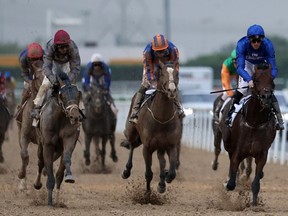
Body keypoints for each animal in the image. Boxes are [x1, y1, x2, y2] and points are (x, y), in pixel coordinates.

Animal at [33, 72, 81, 206]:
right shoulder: (48, 145)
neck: (60, 118)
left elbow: (64, 164)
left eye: (78, 94)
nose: (75, 116)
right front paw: (49, 202)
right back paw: (37, 184)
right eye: (62, 95)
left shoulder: (69, 140)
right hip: (40, 146)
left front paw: (68, 177)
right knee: (40, 162)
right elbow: (49, 170)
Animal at [122, 61, 182, 194]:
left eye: (177, 74)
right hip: (131, 132)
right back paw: (126, 171)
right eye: (163, 73)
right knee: (131, 145)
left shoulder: (171, 145)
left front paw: (163, 181)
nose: (172, 90)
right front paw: (147, 193)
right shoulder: (147, 147)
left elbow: (172, 173)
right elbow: (148, 173)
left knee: (161, 160)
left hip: (160, 147)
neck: (162, 119)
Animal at [219, 66, 276, 206]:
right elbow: (231, 184)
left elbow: (256, 183)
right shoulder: (237, 151)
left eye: (272, 80)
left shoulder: (262, 154)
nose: (266, 97)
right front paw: (228, 183)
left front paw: (254, 204)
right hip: (228, 143)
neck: (255, 122)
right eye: (256, 80)